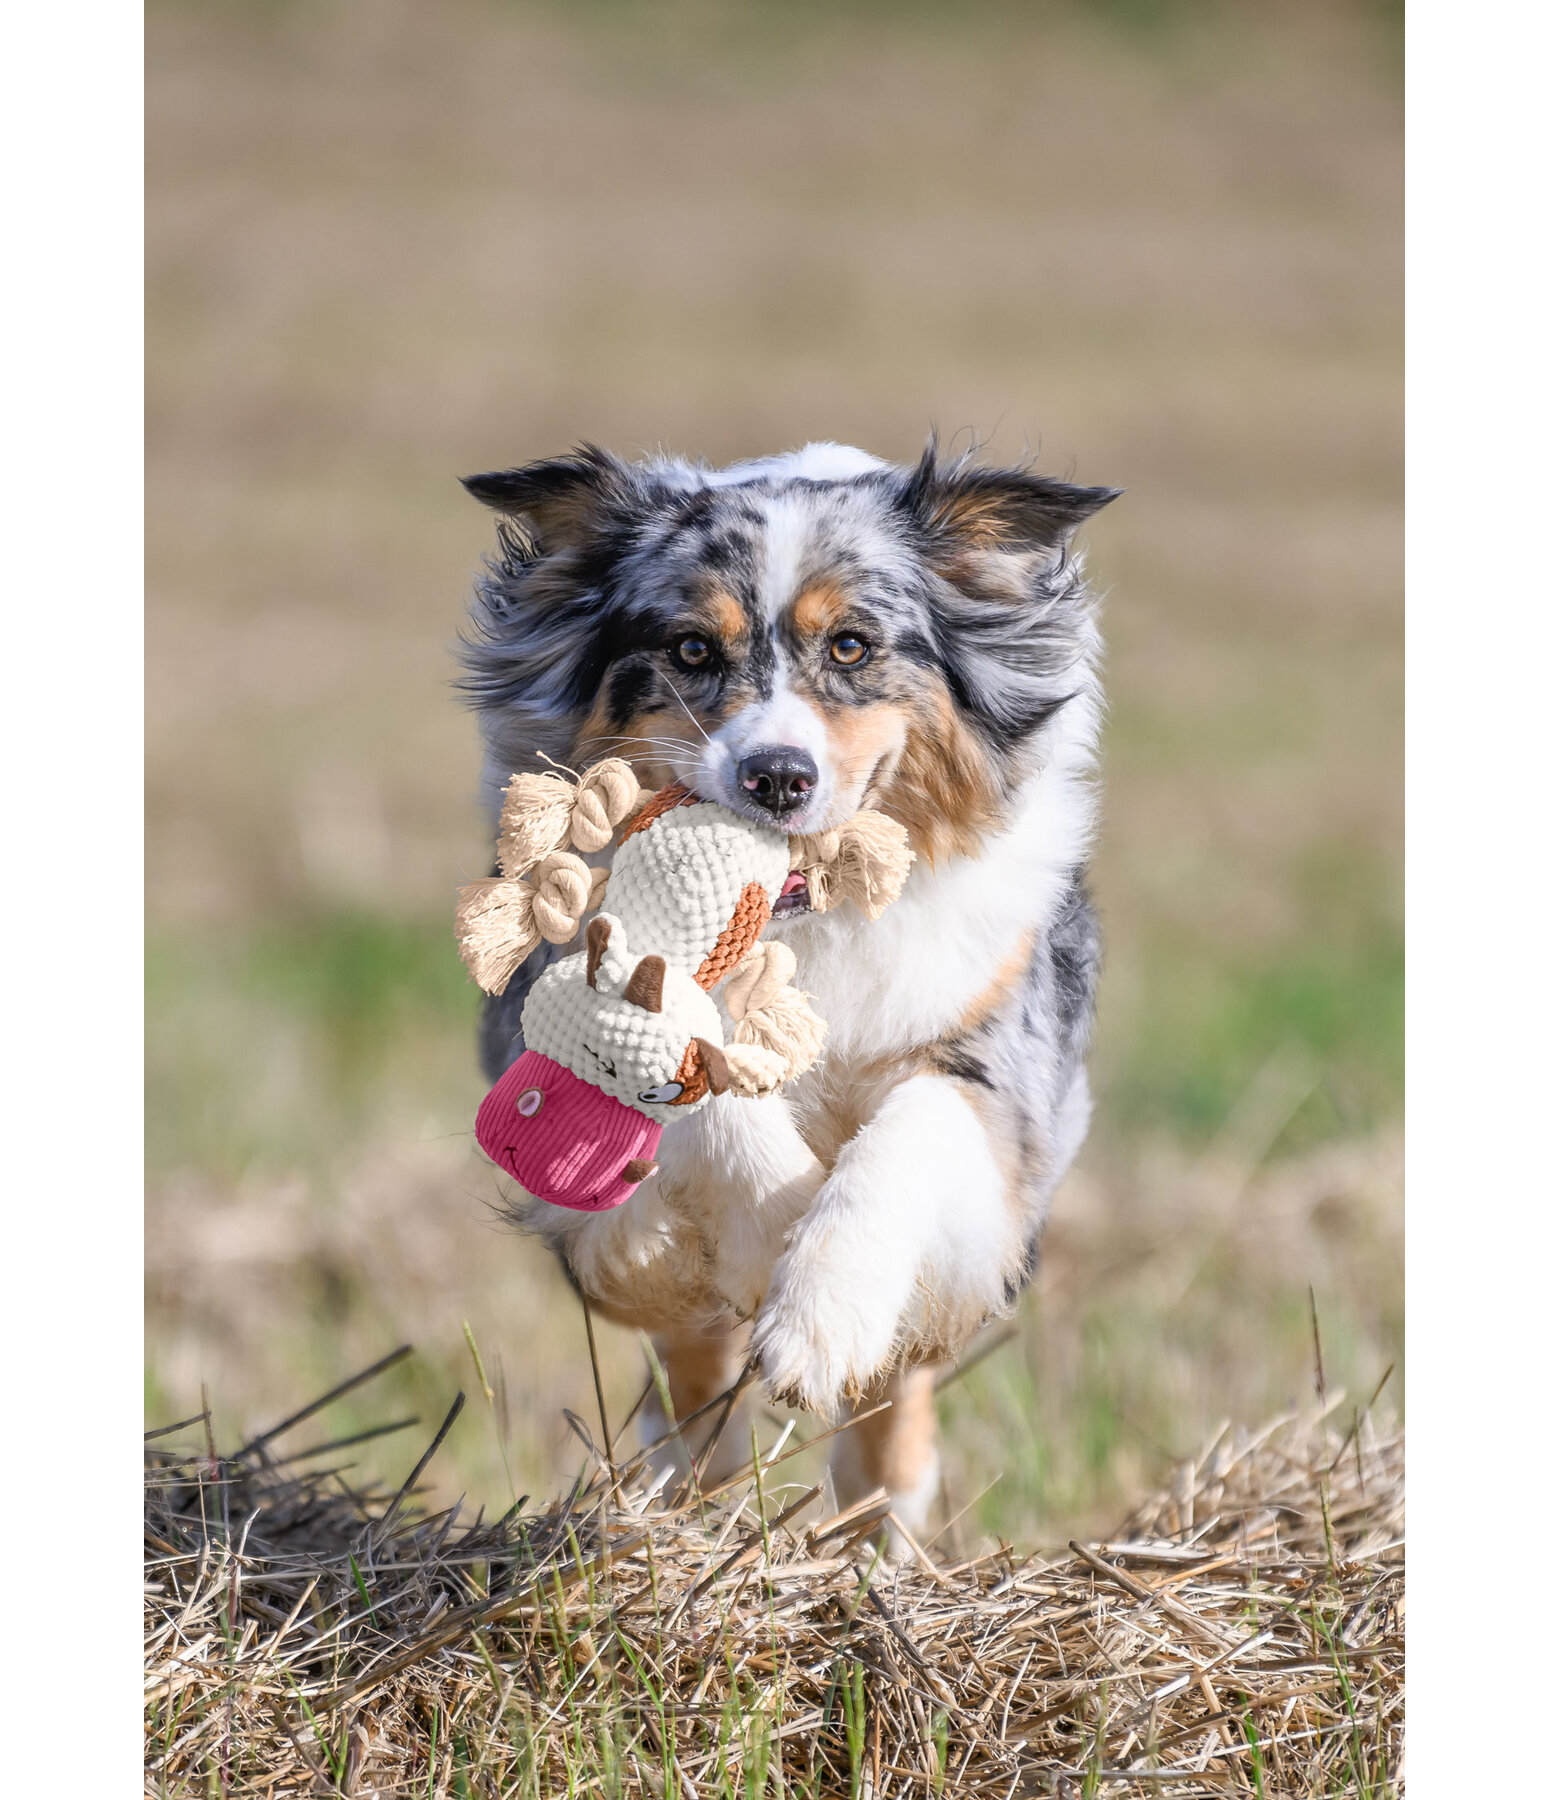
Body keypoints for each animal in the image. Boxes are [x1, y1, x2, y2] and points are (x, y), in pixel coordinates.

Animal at [453, 442, 1116, 1526]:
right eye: (689, 650)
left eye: (850, 647)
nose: (776, 776)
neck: (804, 923)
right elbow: (705, 1109)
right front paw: (773, 1247)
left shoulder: (997, 1073)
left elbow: (907, 1137)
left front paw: (818, 1322)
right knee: (677, 1337)